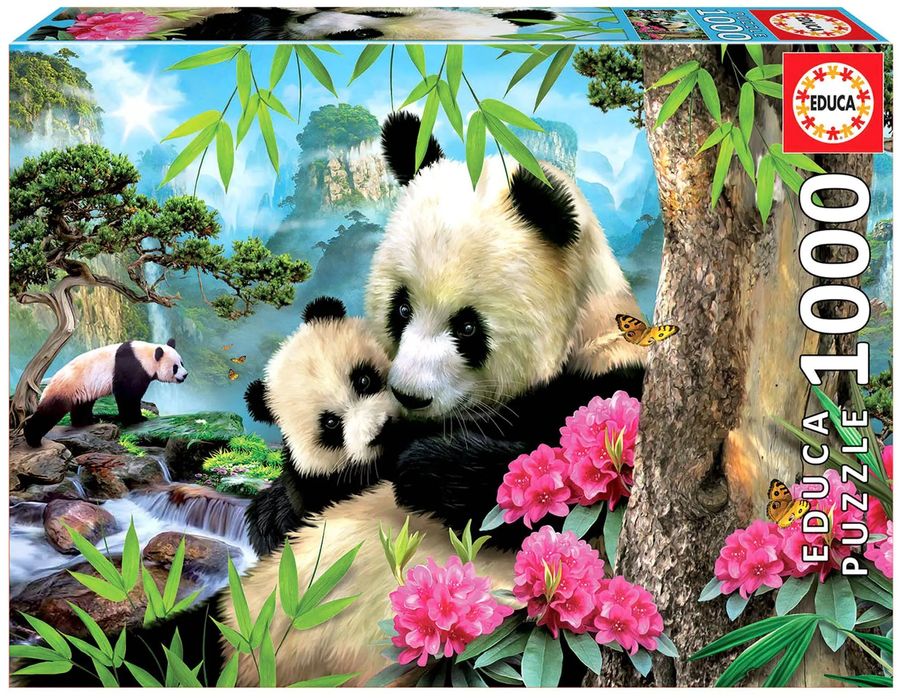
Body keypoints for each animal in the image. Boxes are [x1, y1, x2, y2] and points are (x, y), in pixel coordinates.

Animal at [23, 339, 187, 448]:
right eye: (175, 367)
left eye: (182, 363)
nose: (185, 375)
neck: (145, 355)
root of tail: (49, 383)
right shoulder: (131, 367)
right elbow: (127, 395)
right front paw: (138, 419)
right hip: (66, 387)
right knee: (50, 412)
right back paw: (33, 439)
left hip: (82, 389)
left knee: (83, 405)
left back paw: (87, 421)